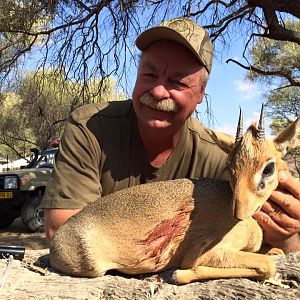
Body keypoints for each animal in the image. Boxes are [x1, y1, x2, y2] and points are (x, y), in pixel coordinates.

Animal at [49, 108, 300, 284]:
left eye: (269, 168)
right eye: (230, 167)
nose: (238, 213)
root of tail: (56, 243)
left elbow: (274, 253)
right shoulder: (207, 251)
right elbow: (268, 265)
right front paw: (180, 274)